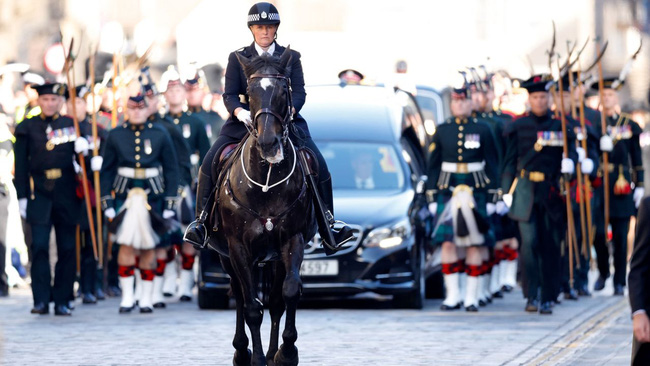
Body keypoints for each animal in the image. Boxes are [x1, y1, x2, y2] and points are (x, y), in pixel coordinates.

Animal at [208, 48, 316, 366]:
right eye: (251, 91)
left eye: (283, 90)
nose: (269, 143)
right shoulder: (237, 248)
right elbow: (251, 307)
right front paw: (254, 357)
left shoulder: (292, 240)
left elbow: (288, 294)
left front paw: (286, 352)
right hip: (226, 257)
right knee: (240, 296)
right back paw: (242, 351)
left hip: (273, 257)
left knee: (275, 301)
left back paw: (271, 352)